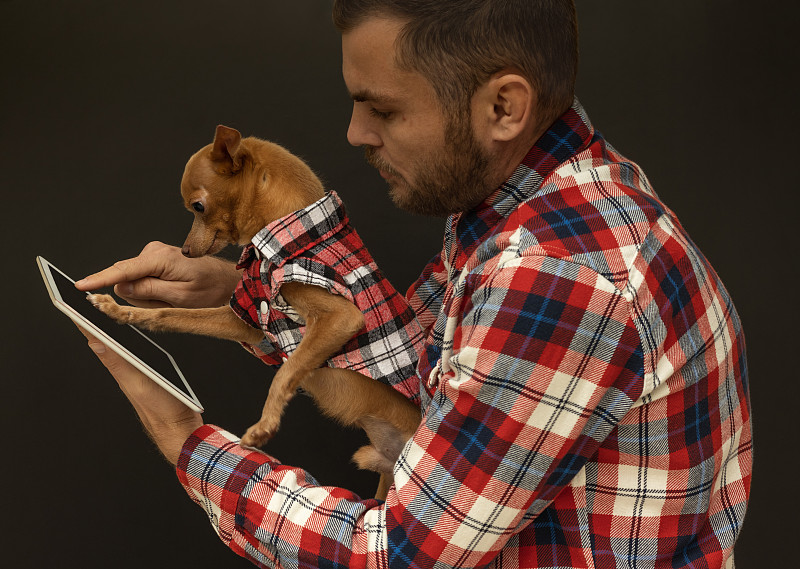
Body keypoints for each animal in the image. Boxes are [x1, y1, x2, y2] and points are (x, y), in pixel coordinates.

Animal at [90, 125, 422, 496]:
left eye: (198, 206)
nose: (185, 251)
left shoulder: (341, 317)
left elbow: (286, 370)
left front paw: (265, 425)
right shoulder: (246, 321)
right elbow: (171, 316)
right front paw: (122, 312)